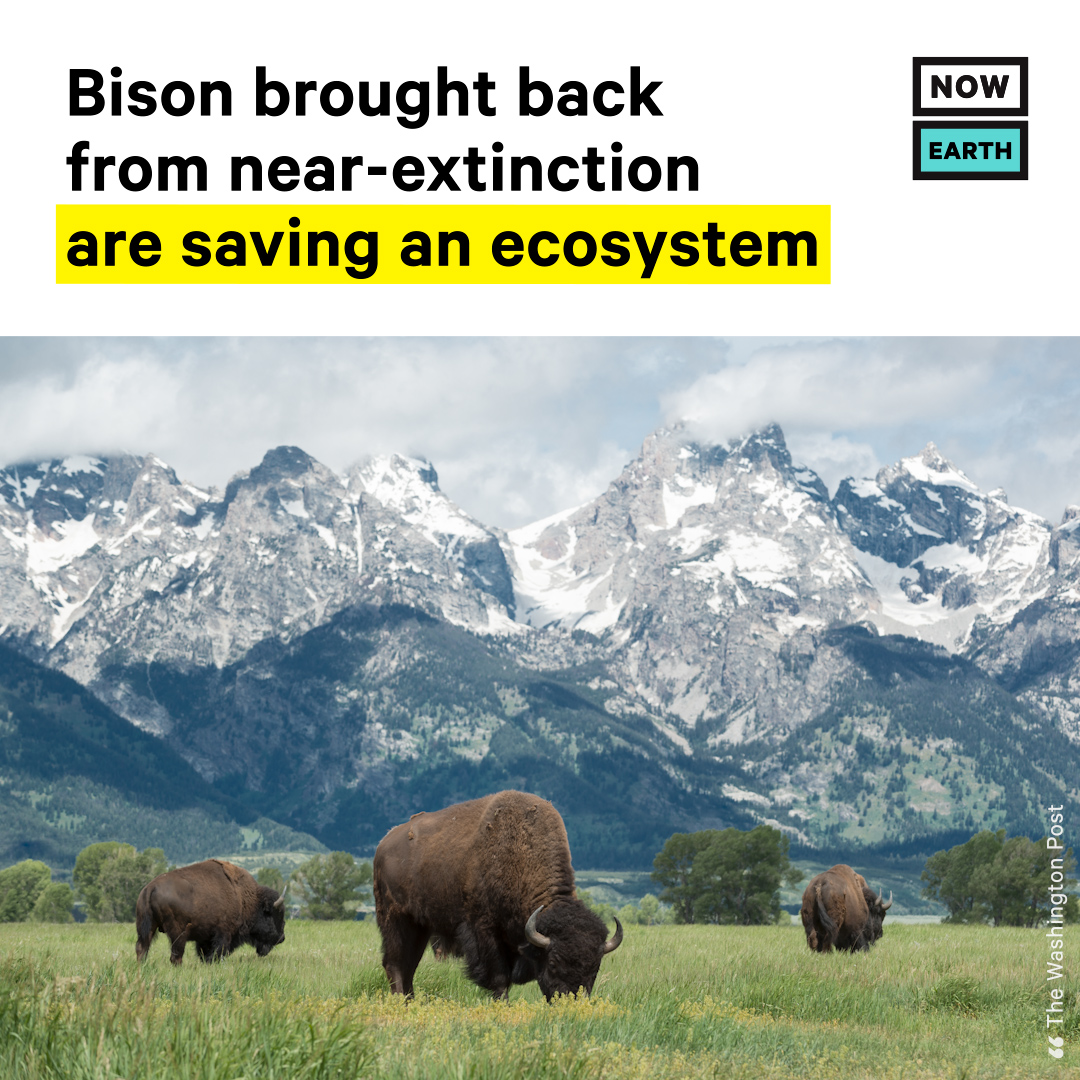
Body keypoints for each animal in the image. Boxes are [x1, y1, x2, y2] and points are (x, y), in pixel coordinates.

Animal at [135, 858, 286, 965]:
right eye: (274, 914)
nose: (282, 938)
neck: (245, 898)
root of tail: (150, 888)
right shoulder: (224, 933)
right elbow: (217, 952)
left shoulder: (205, 938)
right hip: (178, 933)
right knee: (175, 955)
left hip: (147, 927)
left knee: (142, 948)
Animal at [373, 790, 623, 1000]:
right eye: (552, 963)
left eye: (595, 967)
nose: (571, 1000)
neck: (522, 855)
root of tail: (383, 844)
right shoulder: (485, 932)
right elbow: (500, 978)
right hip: (395, 920)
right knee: (395, 963)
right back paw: (400, 1001)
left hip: (420, 927)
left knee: (409, 965)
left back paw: (410, 1001)